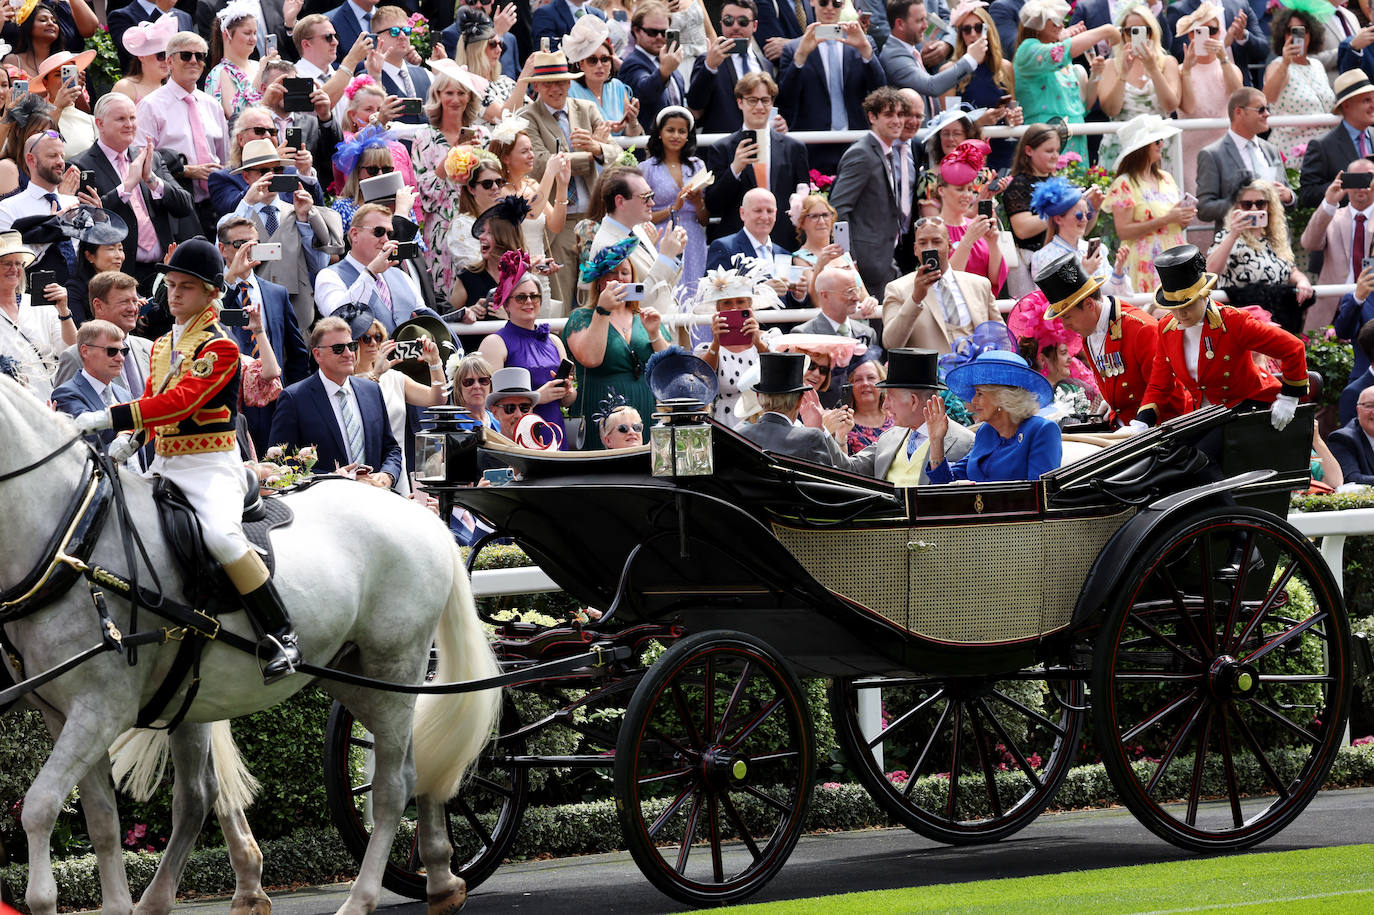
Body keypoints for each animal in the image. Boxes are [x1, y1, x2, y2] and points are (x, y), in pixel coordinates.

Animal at [0, 373, 502, 906]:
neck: (75, 539)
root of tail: (417, 512)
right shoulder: (67, 716)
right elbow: (101, 821)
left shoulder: (100, 711)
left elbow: (39, 806)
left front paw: (42, 898)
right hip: (356, 677)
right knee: (418, 756)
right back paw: (442, 877)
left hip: (394, 666)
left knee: (393, 783)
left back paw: (362, 897)